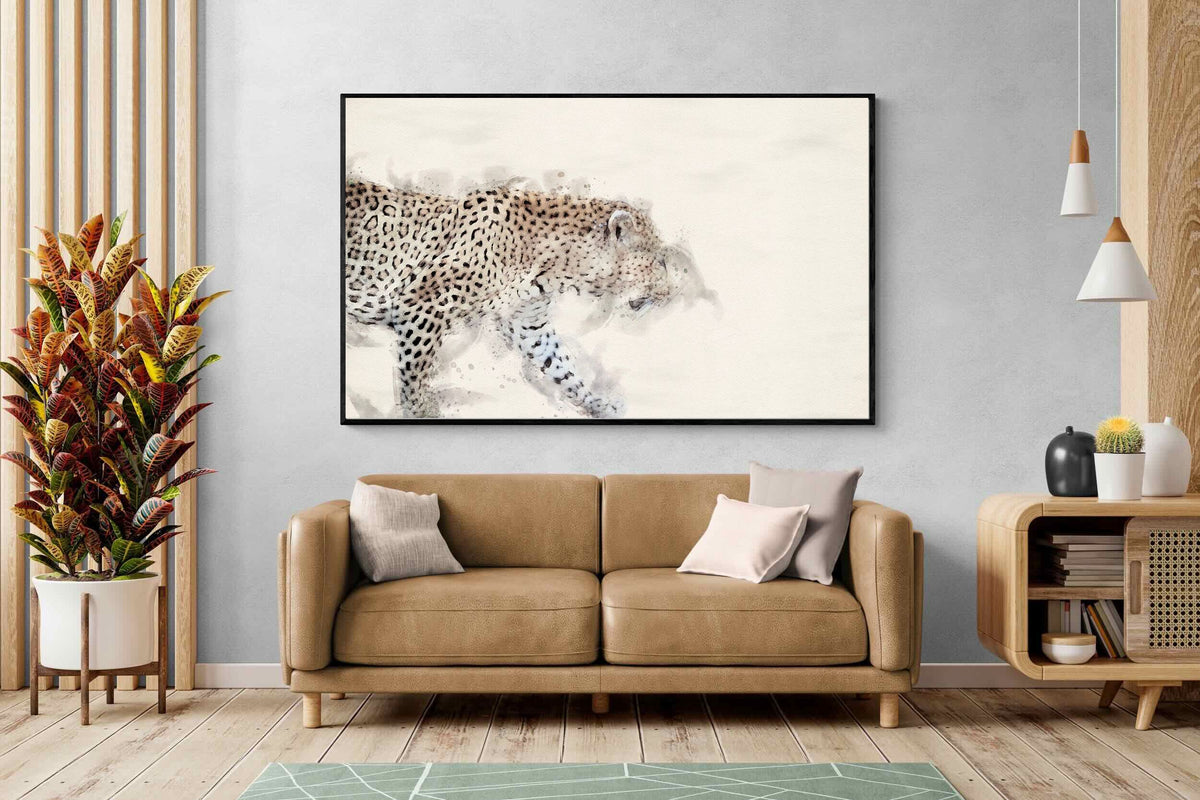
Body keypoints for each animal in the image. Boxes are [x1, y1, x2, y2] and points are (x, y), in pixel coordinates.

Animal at [344, 178, 700, 419]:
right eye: (659, 262)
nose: (671, 293)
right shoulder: (421, 305)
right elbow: (413, 376)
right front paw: (421, 412)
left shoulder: (529, 323)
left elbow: (562, 366)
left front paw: (598, 405)